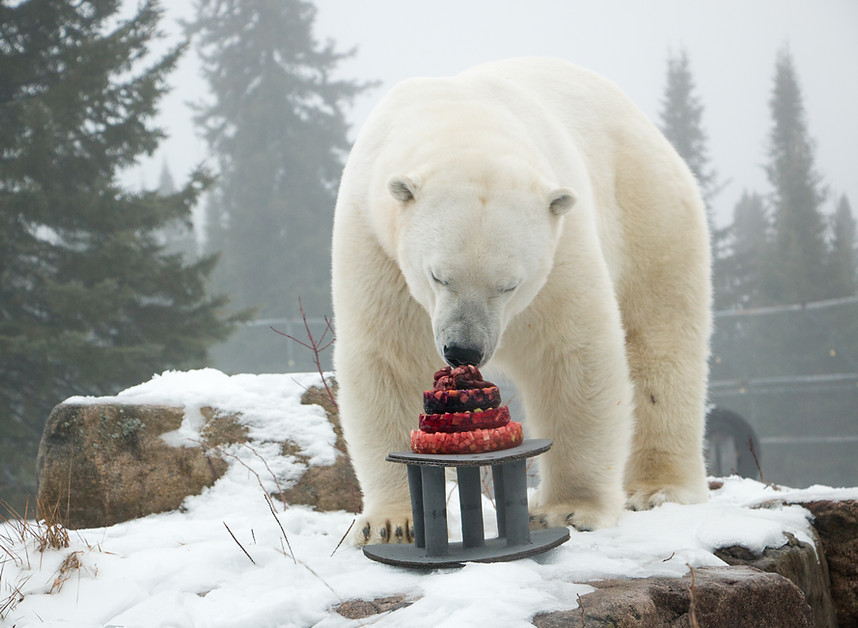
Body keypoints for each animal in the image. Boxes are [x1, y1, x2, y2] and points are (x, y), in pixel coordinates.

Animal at [331, 57, 712, 545]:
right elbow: (388, 361)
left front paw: (569, 509)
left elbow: (572, 355)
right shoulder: (377, 245)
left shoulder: (558, 250)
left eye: (509, 284)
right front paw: (394, 522)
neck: (462, 121)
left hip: (649, 210)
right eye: (438, 275)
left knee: (662, 342)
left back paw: (659, 488)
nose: (464, 350)